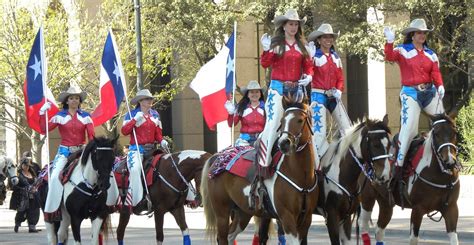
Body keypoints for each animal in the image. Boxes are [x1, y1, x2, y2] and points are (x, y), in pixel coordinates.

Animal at [200, 101, 318, 245]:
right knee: (222, 238)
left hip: (242, 212)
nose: (284, 143)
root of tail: (217, 157)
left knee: (230, 236)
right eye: (282, 121)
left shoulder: (306, 219)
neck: (301, 176)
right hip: (222, 211)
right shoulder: (287, 217)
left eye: (300, 120)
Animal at [314, 115, 392, 245]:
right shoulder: (332, 217)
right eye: (375, 144)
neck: (341, 176)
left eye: (389, 144)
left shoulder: (346, 217)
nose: (384, 176)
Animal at [360, 113, 460, 245]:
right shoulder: (417, 209)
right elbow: (413, 238)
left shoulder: (451, 208)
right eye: (436, 134)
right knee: (364, 227)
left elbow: (454, 239)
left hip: (386, 203)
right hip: (367, 199)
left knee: (379, 231)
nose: (449, 161)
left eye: (454, 132)